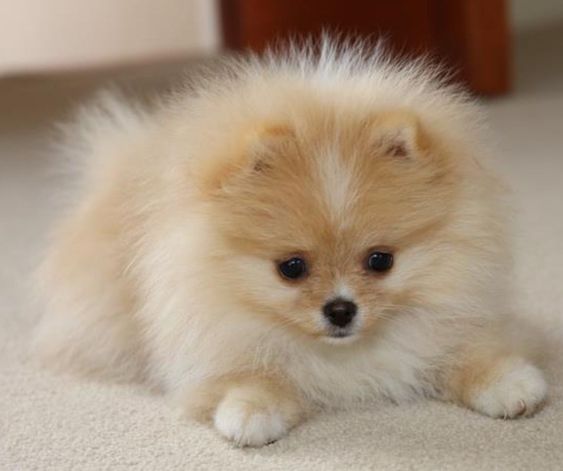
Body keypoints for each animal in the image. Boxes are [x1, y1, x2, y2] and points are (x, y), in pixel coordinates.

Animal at [32, 40, 548, 446]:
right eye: (292, 268)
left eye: (381, 261)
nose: (340, 309)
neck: (345, 353)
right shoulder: (214, 332)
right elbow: (253, 374)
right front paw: (250, 410)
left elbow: (466, 351)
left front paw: (510, 383)